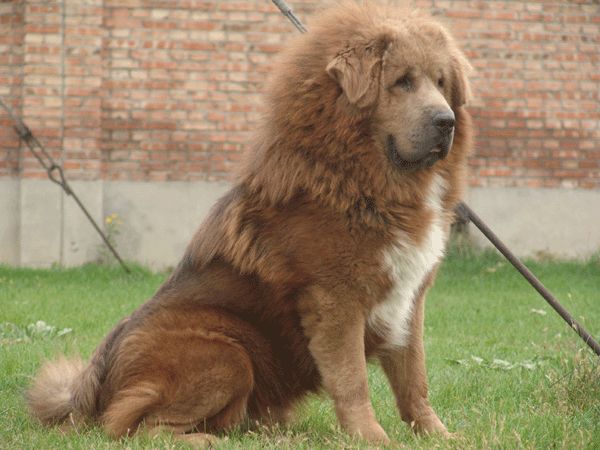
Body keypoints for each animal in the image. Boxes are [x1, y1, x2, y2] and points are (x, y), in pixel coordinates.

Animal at [27, 2, 472, 445]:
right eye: (402, 82)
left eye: (440, 82)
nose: (446, 120)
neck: (362, 178)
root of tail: (92, 380)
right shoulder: (336, 302)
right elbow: (353, 382)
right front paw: (372, 439)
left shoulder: (408, 300)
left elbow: (414, 381)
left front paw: (438, 435)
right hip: (228, 353)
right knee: (131, 426)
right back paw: (204, 440)